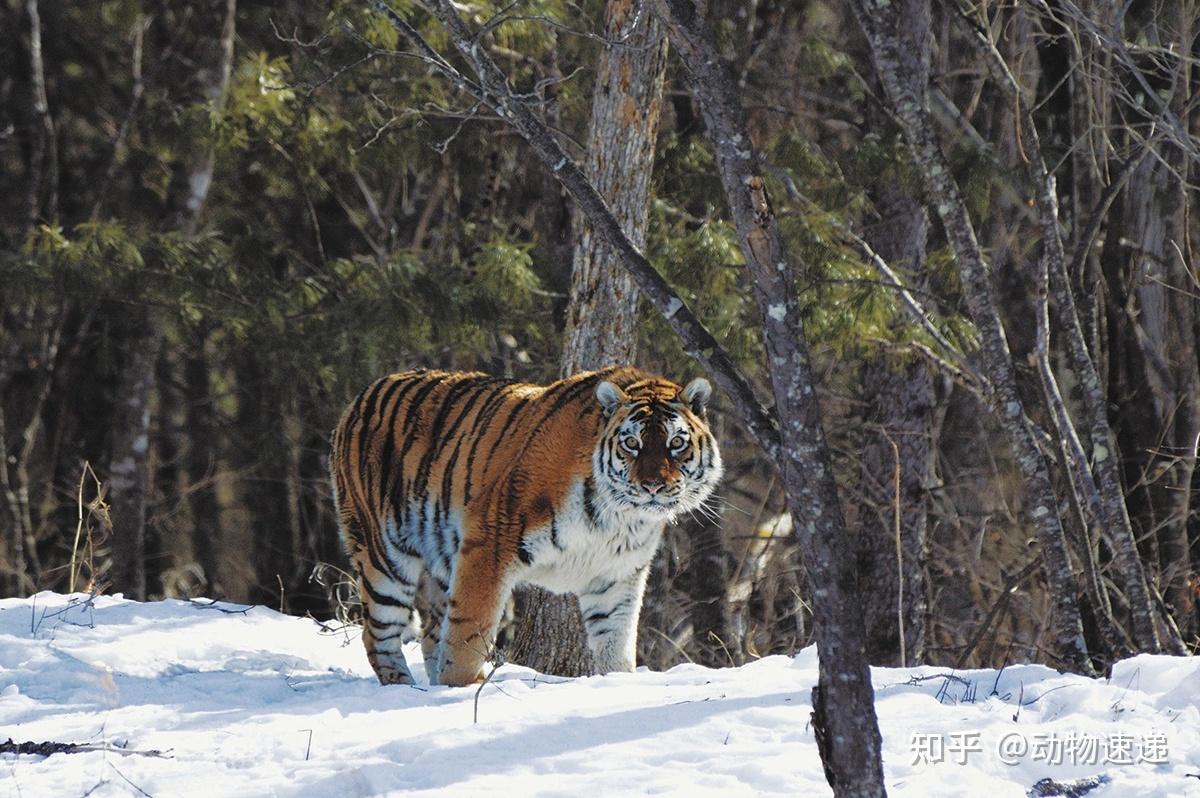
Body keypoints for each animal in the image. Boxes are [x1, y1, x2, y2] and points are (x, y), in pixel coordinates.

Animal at [328, 367, 720, 686]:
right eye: (632, 444)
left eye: (676, 443)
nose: (652, 486)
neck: (619, 517)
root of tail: (361, 395)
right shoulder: (489, 543)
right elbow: (470, 629)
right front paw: (464, 687)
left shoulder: (617, 574)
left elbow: (615, 640)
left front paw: (618, 684)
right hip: (384, 554)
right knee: (378, 633)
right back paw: (405, 689)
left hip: (440, 559)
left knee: (429, 633)